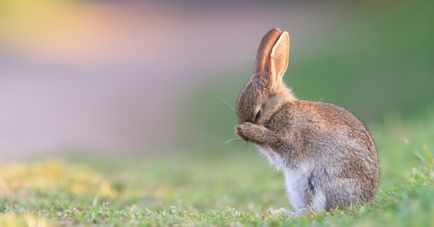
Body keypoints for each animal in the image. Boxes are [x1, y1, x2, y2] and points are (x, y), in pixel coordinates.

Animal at [234, 27, 380, 213]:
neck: (278, 109)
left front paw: (248, 130)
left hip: (321, 181)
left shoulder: (290, 136)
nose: (241, 130)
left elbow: (278, 141)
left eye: (258, 113)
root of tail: (365, 200)